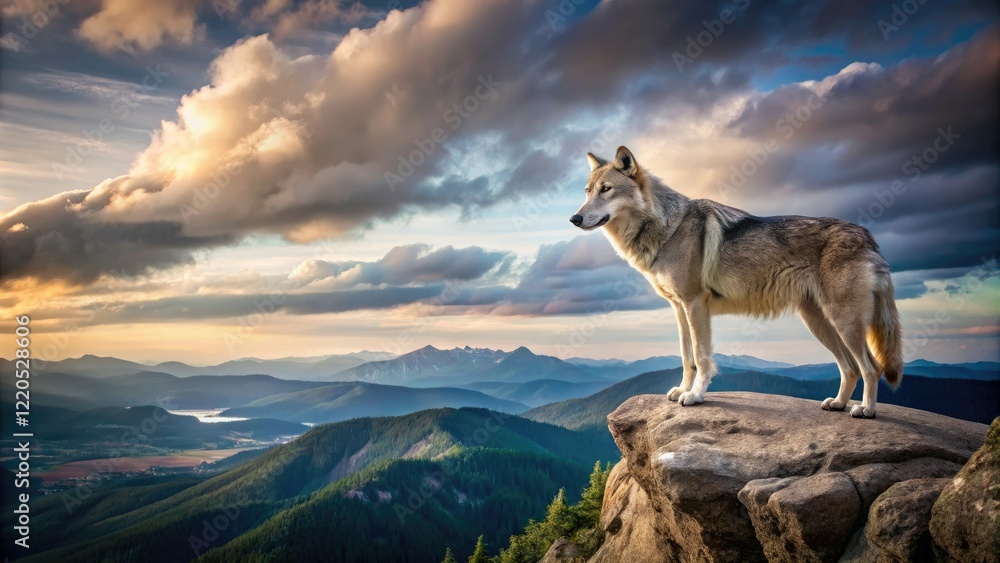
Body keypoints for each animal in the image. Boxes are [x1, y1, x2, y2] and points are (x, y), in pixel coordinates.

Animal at [570, 146, 903, 418]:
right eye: (587, 191)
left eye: (606, 190)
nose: (574, 218)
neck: (666, 227)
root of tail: (868, 237)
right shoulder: (679, 309)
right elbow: (686, 357)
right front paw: (683, 389)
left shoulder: (695, 305)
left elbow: (701, 357)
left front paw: (695, 396)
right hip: (819, 323)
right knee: (850, 368)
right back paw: (838, 404)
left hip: (844, 323)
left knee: (871, 367)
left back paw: (865, 410)